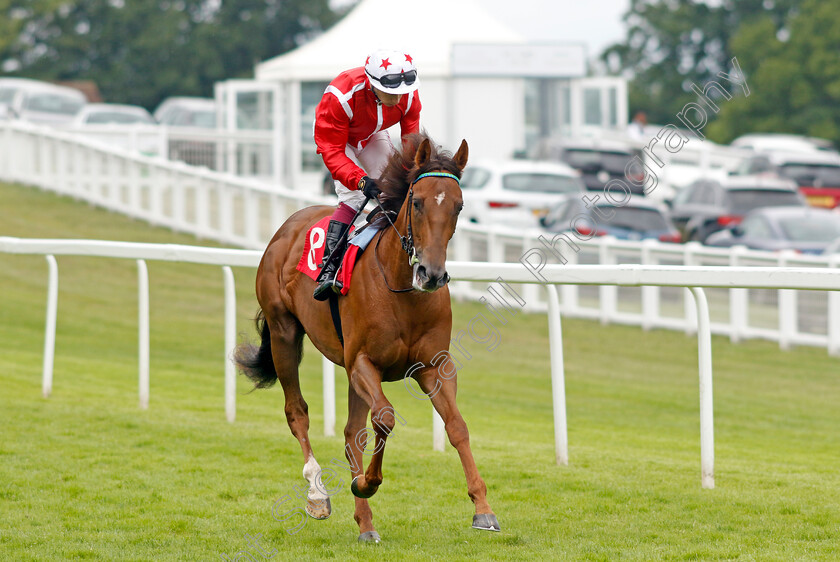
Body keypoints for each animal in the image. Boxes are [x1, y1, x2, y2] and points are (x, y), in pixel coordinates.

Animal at [233, 133, 498, 540]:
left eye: (459, 206)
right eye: (417, 203)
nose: (432, 274)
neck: (402, 289)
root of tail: (286, 228)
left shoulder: (434, 366)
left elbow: (457, 427)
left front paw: (483, 509)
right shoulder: (363, 362)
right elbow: (385, 418)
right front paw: (366, 483)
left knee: (349, 433)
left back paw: (365, 523)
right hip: (284, 333)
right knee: (298, 412)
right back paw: (318, 495)